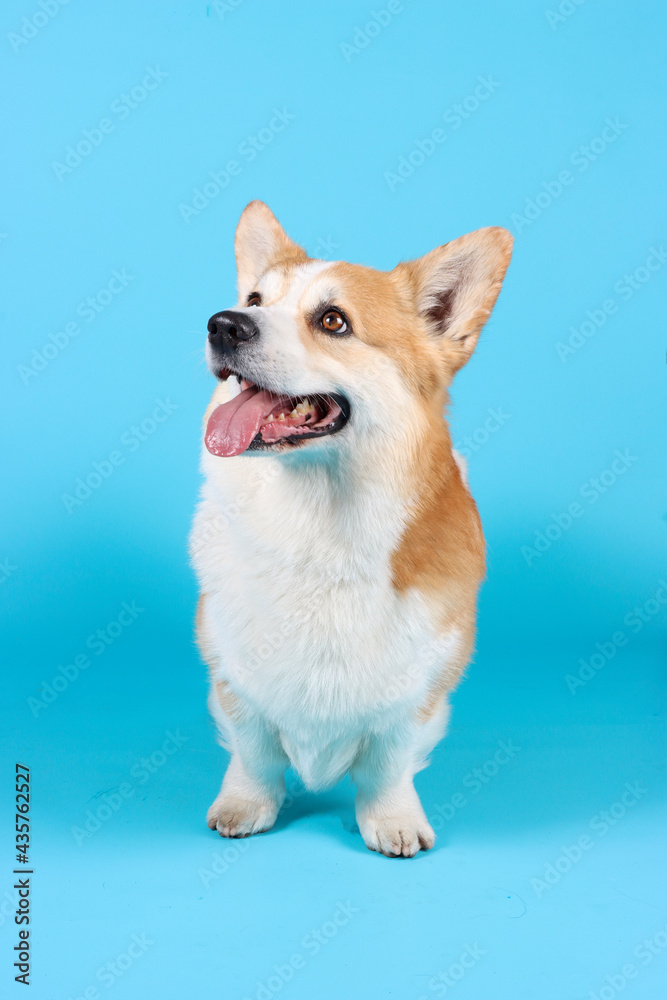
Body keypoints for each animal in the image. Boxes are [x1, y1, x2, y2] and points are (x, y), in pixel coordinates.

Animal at [190, 199, 516, 856]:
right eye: (254, 300)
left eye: (333, 321)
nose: (223, 323)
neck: (315, 522)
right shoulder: (233, 674)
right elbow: (254, 753)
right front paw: (243, 806)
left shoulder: (418, 693)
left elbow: (389, 763)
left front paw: (393, 821)